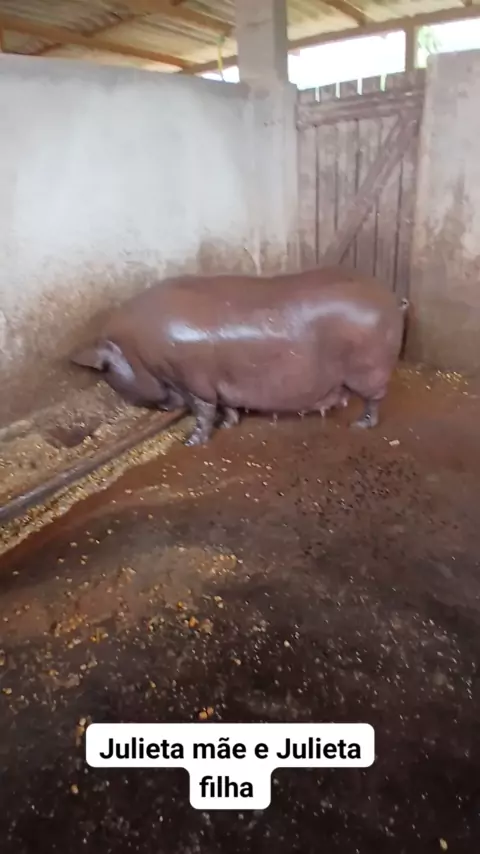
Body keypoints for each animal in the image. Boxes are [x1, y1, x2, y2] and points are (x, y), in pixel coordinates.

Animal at [70, 267, 408, 447]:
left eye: (107, 371)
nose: (163, 406)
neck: (139, 349)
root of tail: (390, 298)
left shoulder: (194, 382)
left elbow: (203, 412)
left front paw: (191, 442)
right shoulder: (218, 382)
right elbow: (226, 405)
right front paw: (229, 425)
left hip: (368, 372)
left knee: (375, 399)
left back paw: (361, 426)